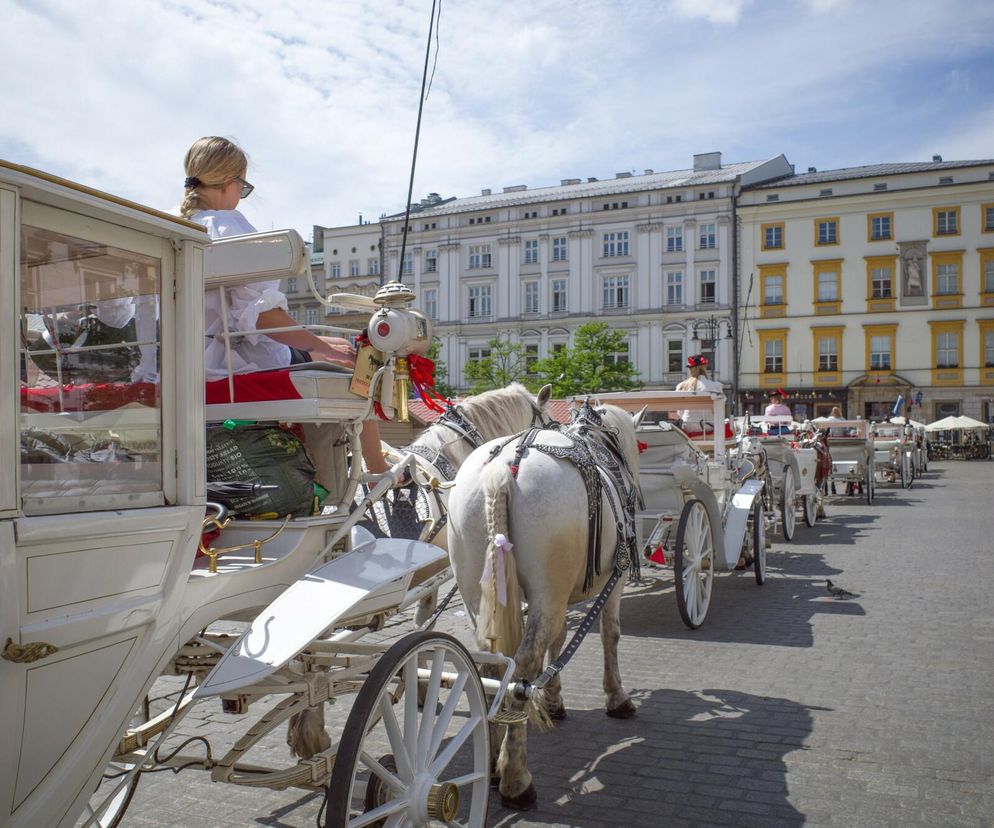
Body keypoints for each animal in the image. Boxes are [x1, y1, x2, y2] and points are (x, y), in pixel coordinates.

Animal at [444, 402, 644, 808]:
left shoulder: (558, 597)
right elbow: (610, 634)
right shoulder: (611, 582)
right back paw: (515, 778)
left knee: (491, 665)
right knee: (522, 666)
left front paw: (553, 700)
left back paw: (492, 759)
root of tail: (503, 471)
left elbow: (560, 637)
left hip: (478, 594)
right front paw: (617, 698)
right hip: (547, 591)